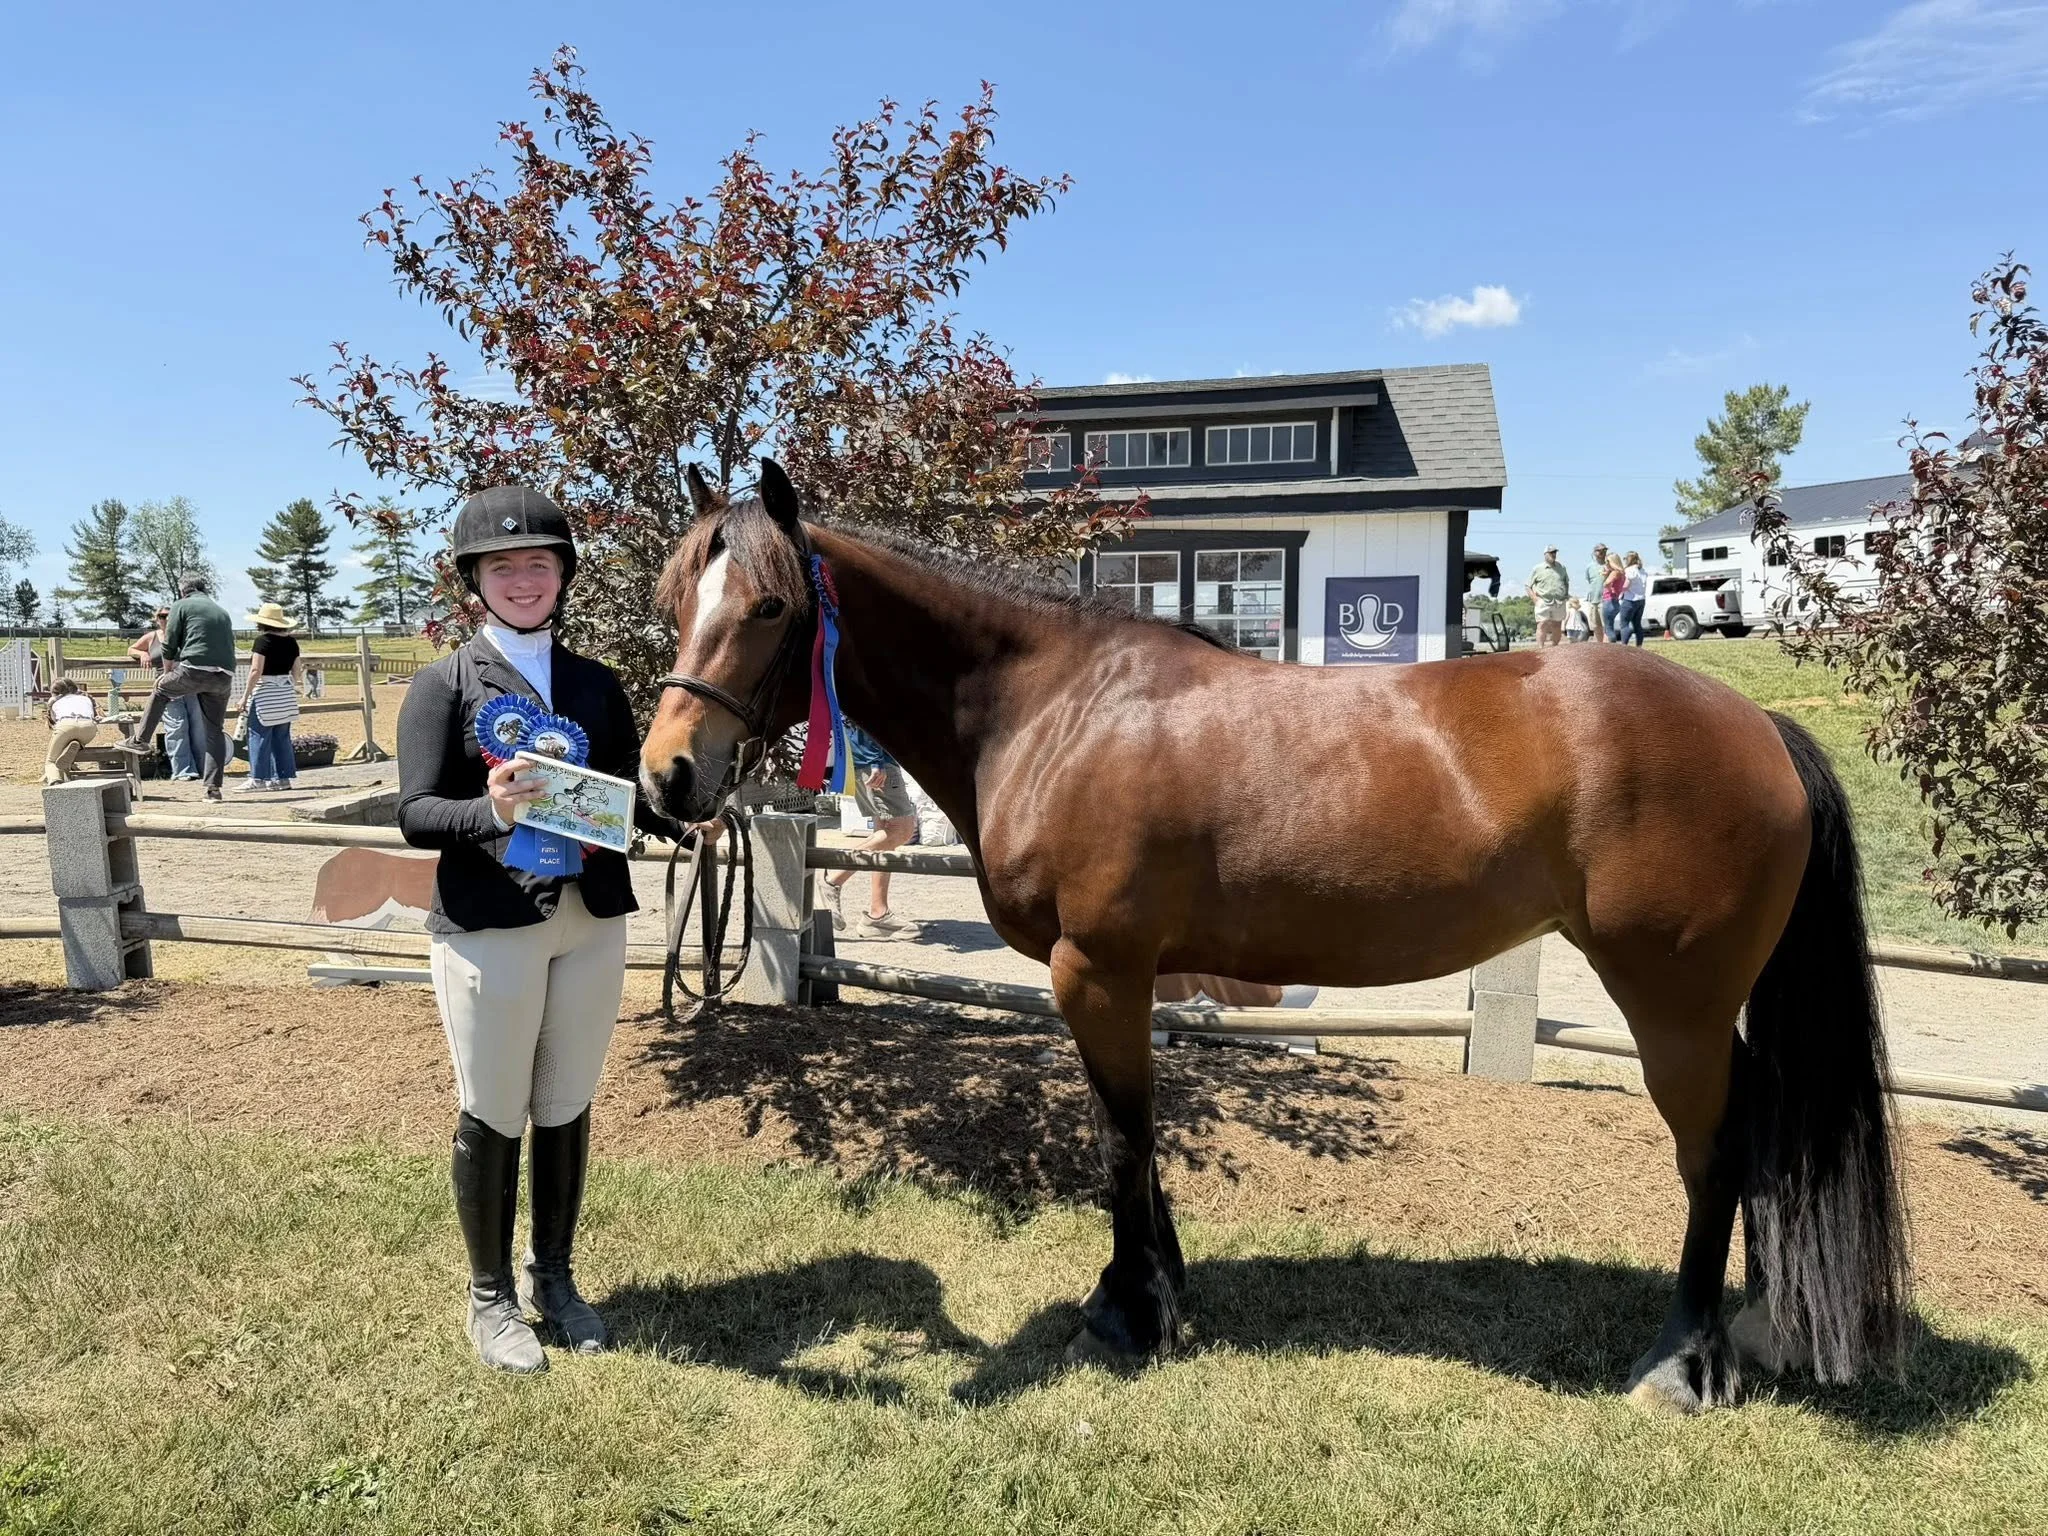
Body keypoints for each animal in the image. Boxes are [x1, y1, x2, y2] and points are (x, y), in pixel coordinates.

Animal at [638, 460, 1909, 1413]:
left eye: (768, 607)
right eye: (671, 602)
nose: (667, 778)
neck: (1055, 707)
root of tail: (1757, 724)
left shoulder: (1096, 971)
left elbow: (1121, 1138)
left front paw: (1126, 1313)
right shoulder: (1124, 979)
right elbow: (1132, 1134)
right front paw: (1156, 1294)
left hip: (1674, 1003)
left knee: (1717, 1152)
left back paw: (1680, 1362)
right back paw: (1753, 1331)